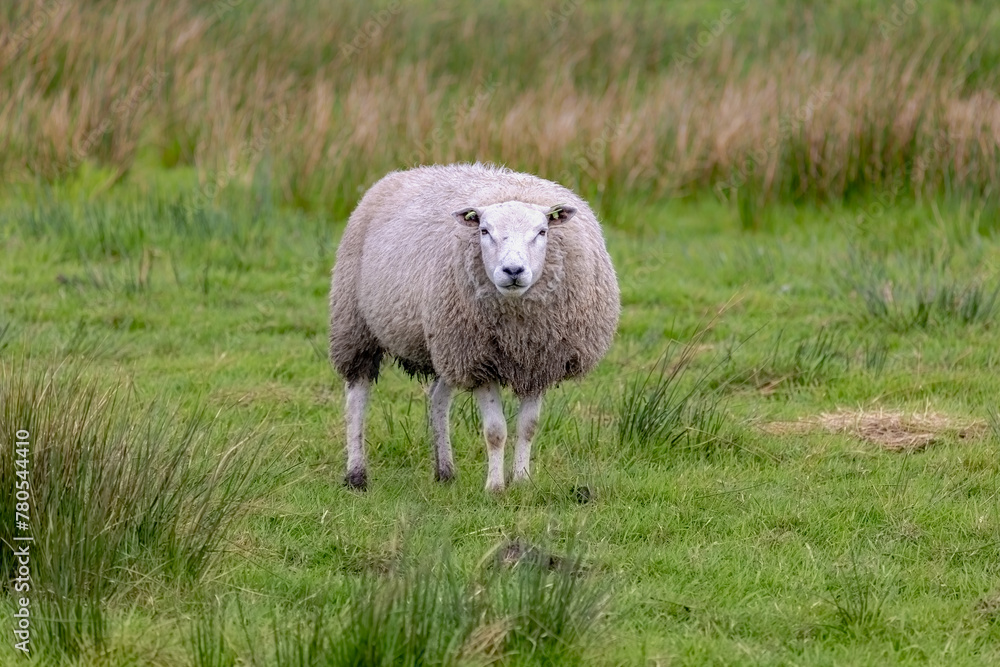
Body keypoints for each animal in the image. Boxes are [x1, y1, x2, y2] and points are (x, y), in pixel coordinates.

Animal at [329, 163, 619, 492]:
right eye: (484, 231)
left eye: (542, 231)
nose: (513, 271)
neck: (518, 329)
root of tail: (404, 172)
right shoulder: (479, 362)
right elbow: (495, 430)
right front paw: (495, 487)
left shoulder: (537, 362)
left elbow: (528, 427)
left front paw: (522, 482)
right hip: (355, 324)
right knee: (357, 398)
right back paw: (356, 474)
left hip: (444, 343)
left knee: (438, 399)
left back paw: (445, 471)